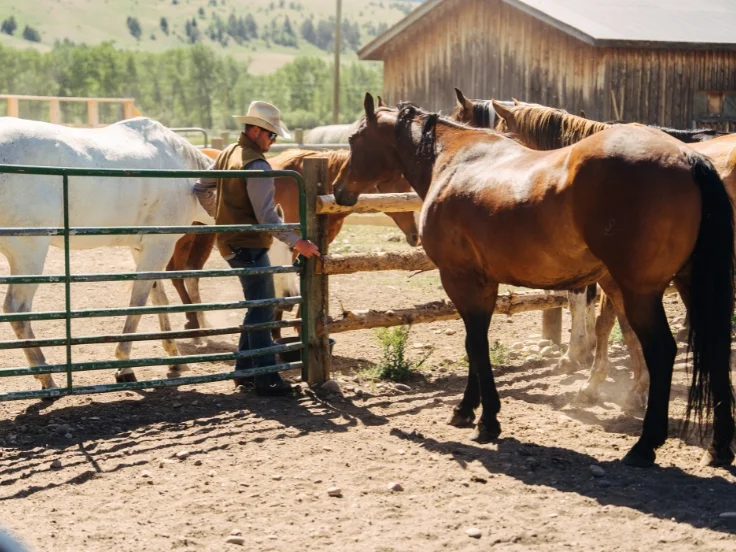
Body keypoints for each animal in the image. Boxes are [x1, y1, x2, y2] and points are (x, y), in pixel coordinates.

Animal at [0, 116, 216, 390]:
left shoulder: (143, 248)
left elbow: (158, 299)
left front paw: (174, 359)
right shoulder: (160, 245)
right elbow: (139, 301)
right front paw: (124, 366)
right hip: (30, 255)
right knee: (17, 310)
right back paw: (47, 378)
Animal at [167, 148, 420, 334]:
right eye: (398, 184)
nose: (415, 235)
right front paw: (280, 326)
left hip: (203, 238)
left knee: (190, 274)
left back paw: (201, 322)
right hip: (181, 239)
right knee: (175, 272)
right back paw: (193, 321)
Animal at [334, 94, 735, 468]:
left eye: (354, 138)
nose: (338, 189)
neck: (453, 160)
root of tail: (688, 158)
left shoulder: (460, 279)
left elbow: (475, 345)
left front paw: (487, 420)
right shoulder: (484, 283)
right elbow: (474, 344)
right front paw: (467, 410)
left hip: (642, 293)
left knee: (662, 350)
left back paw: (645, 445)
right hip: (689, 285)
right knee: (714, 349)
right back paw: (719, 446)